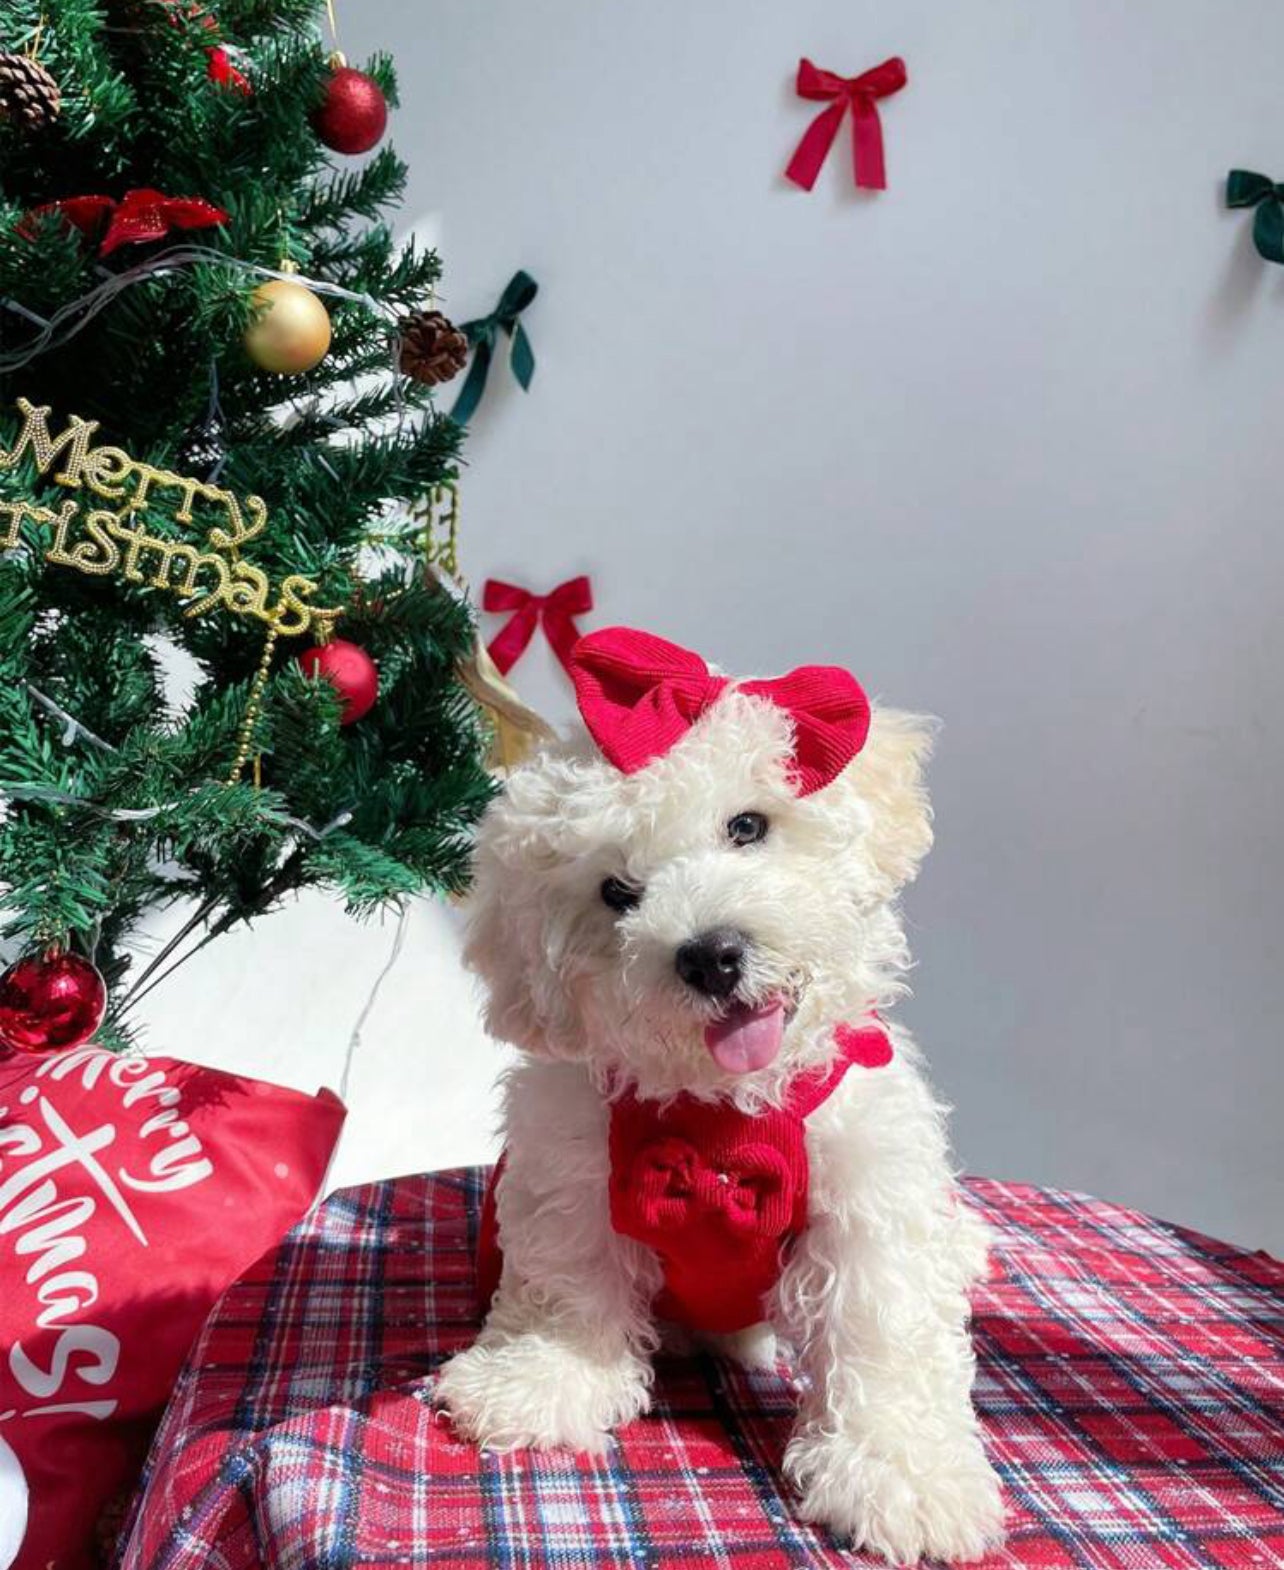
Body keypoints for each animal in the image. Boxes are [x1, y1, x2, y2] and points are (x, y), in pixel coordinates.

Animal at [439, 631, 998, 1563]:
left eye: (747, 827)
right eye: (615, 892)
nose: (711, 954)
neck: (723, 1111)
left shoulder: (870, 1189)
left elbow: (885, 1326)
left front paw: (904, 1473)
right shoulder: (572, 1167)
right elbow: (567, 1281)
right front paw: (539, 1380)